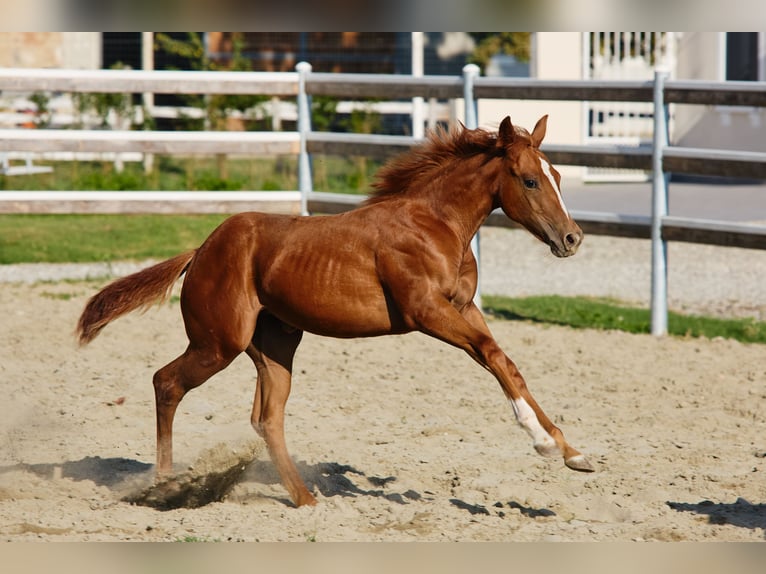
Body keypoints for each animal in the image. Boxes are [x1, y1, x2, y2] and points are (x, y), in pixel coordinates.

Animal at [76, 115, 592, 508]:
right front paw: (545, 443)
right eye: (530, 180)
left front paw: (571, 452)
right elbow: (490, 354)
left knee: (266, 417)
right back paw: (164, 486)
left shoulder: (464, 309)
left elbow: (504, 360)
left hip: (275, 346)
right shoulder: (426, 312)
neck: (435, 224)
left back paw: (304, 498)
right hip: (218, 343)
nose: (572, 238)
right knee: (167, 383)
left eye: (557, 176)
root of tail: (200, 251)